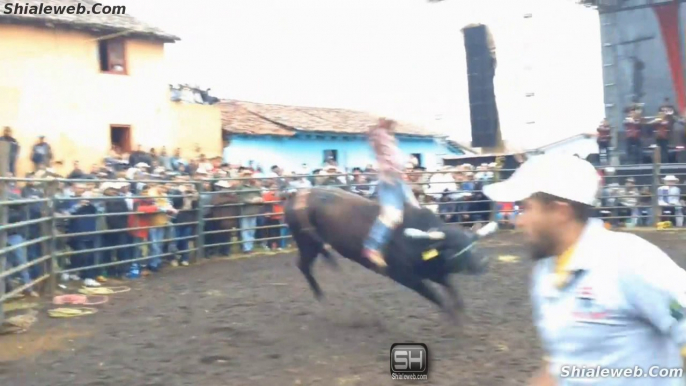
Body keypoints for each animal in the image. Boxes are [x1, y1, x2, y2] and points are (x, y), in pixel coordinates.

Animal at [282, 185, 498, 322]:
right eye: (453, 247)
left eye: (472, 243)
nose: (483, 262)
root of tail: (296, 197)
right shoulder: (405, 276)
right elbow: (435, 295)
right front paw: (453, 317)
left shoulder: (433, 270)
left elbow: (450, 288)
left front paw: (459, 310)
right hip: (307, 242)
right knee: (303, 265)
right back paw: (320, 297)